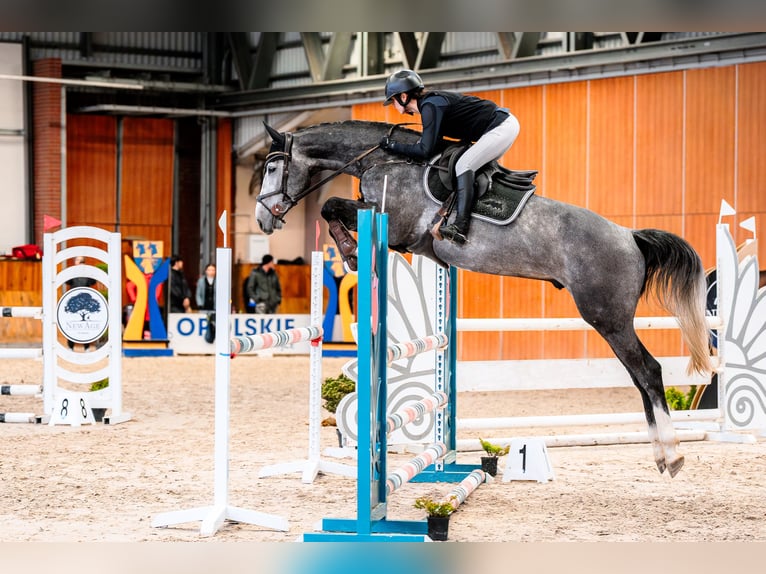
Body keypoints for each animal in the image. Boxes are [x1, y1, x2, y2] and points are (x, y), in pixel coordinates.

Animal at [254, 120, 712, 478]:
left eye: (273, 166)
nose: (262, 219)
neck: (387, 161)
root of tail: (630, 237)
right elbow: (333, 207)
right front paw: (349, 251)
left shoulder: (395, 226)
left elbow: (331, 204)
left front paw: (350, 252)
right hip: (611, 319)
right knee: (640, 377)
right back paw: (660, 454)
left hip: (608, 318)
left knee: (648, 371)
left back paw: (672, 455)